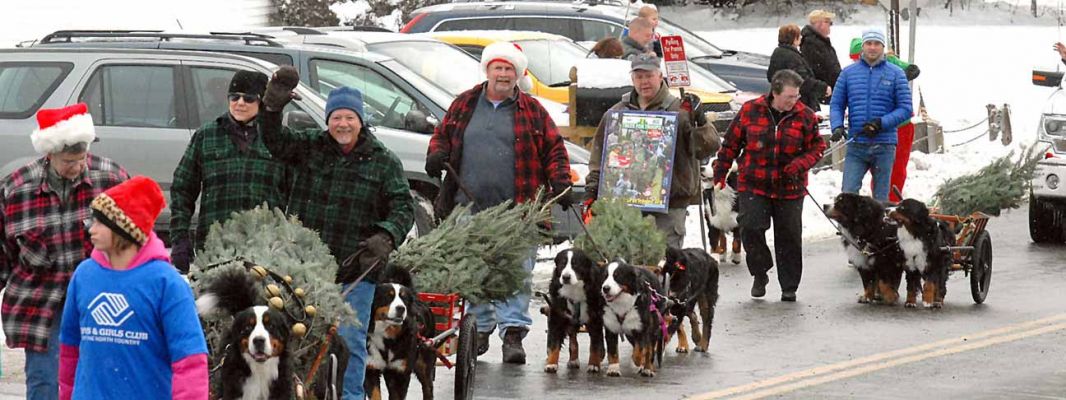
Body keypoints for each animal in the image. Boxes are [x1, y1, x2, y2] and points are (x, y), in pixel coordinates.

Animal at [362, 266, 437, 400]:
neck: (387, 338)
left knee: (428, 387)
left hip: (424, 362)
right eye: (388, 297)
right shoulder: (371, 368)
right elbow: (375, 395)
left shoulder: (399, 373)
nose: (401, 308)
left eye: (404, 298)